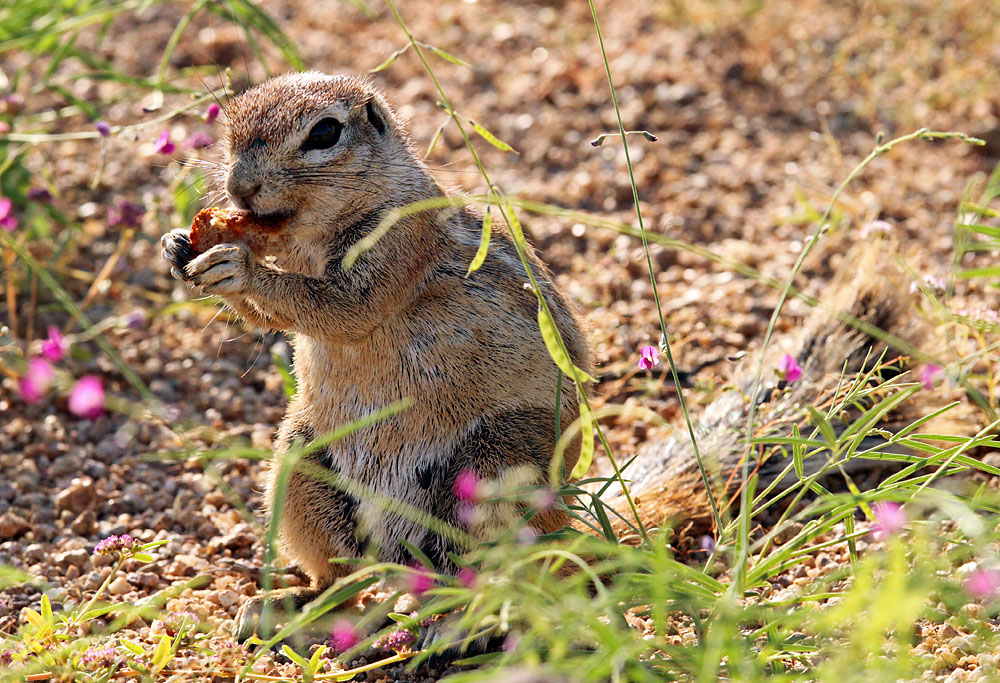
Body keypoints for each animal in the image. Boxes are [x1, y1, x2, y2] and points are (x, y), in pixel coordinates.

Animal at [161, 73, 588, 640]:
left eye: (324, 133)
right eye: (229, 128)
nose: (239, 188)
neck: (311, 235)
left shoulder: (399, 244)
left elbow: (342, 308)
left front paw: (240, 268)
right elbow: (275, 316)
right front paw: (177, 246)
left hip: (498, 464)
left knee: (482, 574)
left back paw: (449, 625)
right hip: (300, 462)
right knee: (347, 575)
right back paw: (289, 605)